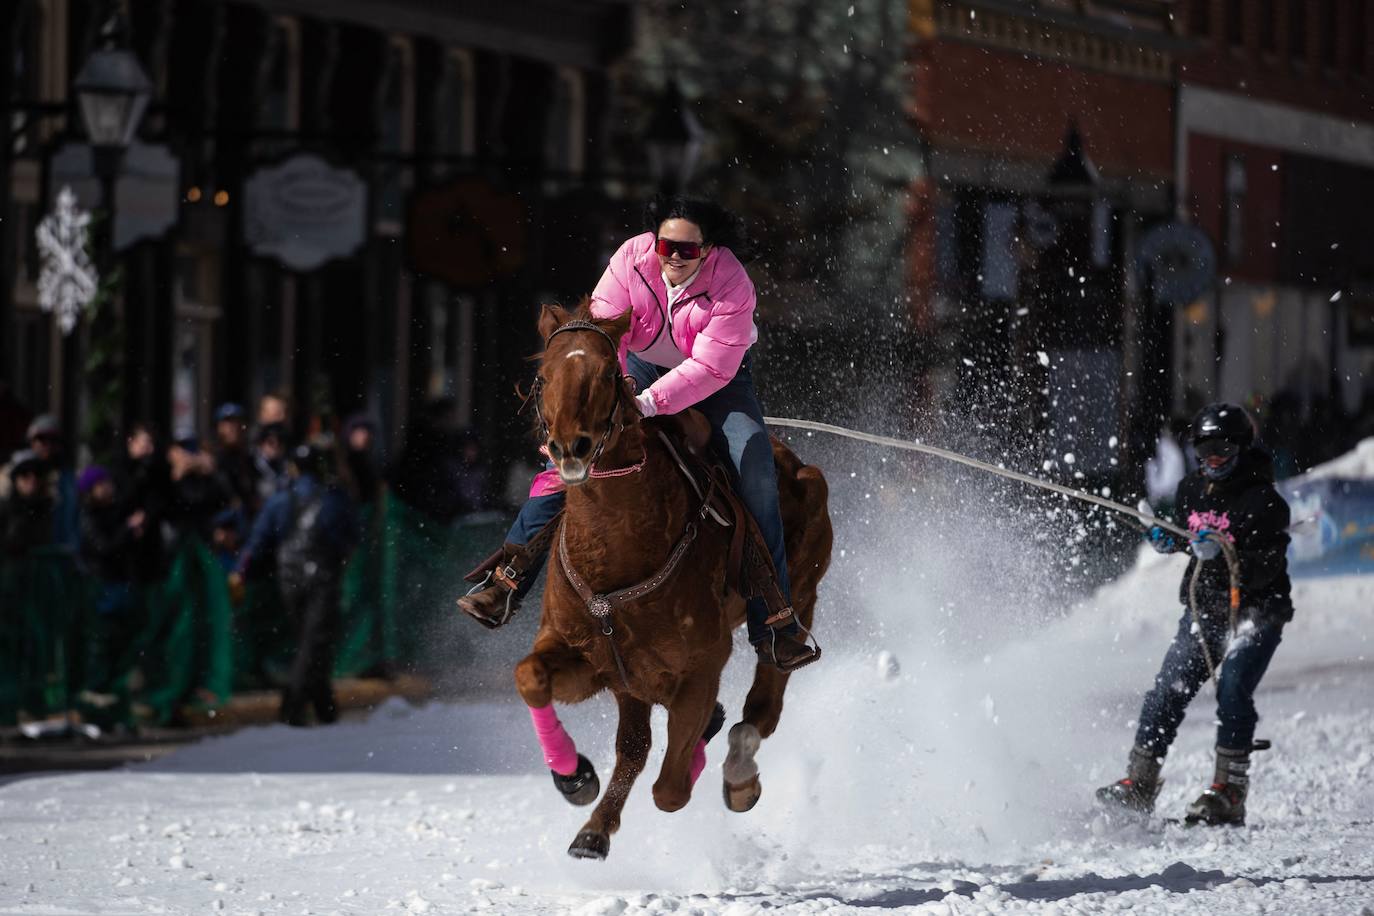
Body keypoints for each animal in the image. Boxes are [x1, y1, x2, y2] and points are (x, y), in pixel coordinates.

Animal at [516, 300, 829, 862]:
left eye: (608, 374)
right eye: (543, 376)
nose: (569, 448)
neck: (618, 556)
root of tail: (798, 465)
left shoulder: (701, 664)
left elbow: (671, 790)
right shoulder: (588, 658)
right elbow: (530, 677)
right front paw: (575, 778)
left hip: (800, 599)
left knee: (764, 701)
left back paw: (739, 772)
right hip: (629, 679)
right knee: (636, 746)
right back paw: (593, 830)